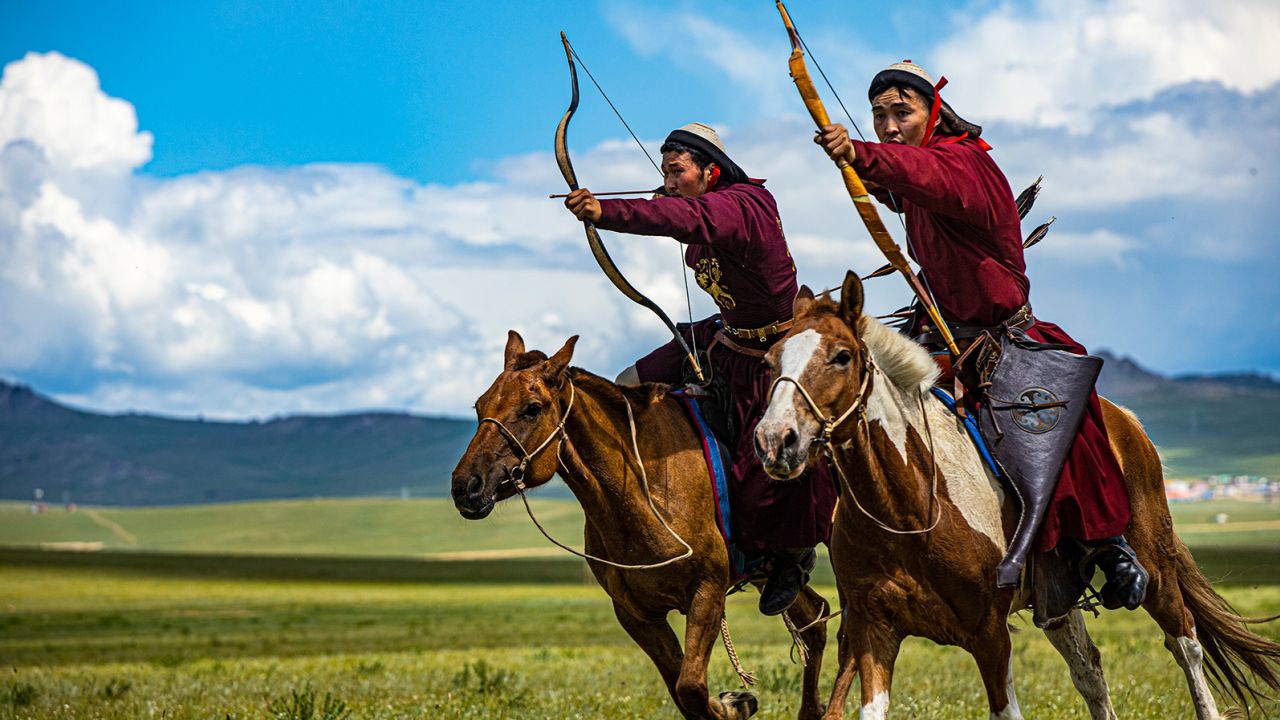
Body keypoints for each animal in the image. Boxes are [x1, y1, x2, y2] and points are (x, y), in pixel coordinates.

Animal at [450, 330, 829, 717]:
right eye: (480, 406)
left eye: (532, 408)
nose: (466, 486)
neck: (642, 492)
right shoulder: (637, 614)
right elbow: (683, 690)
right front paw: (734, 702)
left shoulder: (706, 592)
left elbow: (691, 686)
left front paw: (734, 704)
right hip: (764, 574)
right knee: (815, 620)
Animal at [747, 270, 1280, 717]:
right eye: (771, 361)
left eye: (841, 356)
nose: (776, 440)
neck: (910, 509)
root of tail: (1125, 420)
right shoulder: (873, 632)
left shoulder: (990, 636)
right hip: (1057, 596)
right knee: (1090, 670)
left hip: (1157, 564)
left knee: (1186, 645)